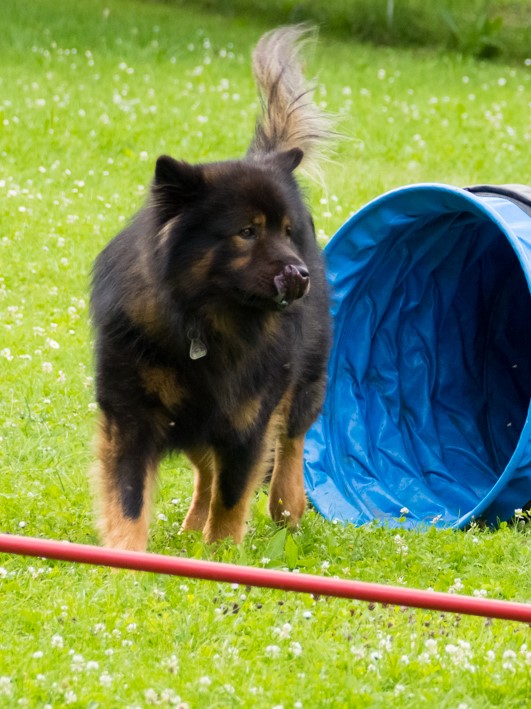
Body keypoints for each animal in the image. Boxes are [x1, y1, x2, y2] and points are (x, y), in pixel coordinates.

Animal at [90, 24, 332, 552]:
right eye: (246, 231)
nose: (299, 274)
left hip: (304, 377)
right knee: (205, 472)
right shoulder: (132, 414)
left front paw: (219, 554)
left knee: (292, 438)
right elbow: (129, 497)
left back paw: (288, 505)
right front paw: (125, 557)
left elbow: (233, 493)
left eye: (287, 231)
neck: (204, 321)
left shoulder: (246, 418)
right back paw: (190, 523)